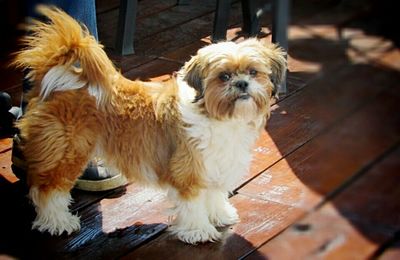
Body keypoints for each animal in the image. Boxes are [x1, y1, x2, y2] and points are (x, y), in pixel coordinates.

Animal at [12, 6, 286, 246]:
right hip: (68, 151)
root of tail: (59, 80)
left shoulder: (216, 166)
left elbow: (214, 194)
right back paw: (57, 222)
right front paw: (198, 230)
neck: (216, 115)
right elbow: (194, 202)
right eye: (224, 76)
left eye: (253, 72)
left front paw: (219, 215)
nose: (242, 84)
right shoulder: (189, 169)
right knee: (48, 189)